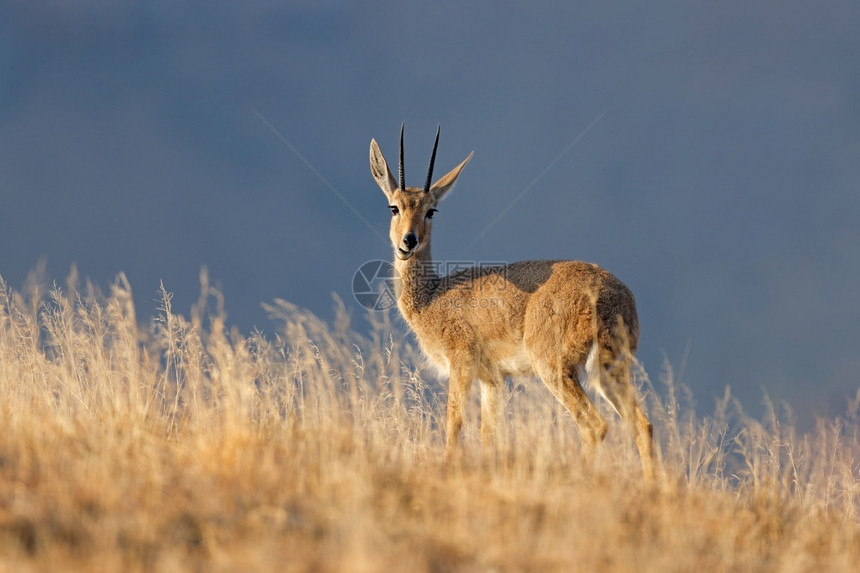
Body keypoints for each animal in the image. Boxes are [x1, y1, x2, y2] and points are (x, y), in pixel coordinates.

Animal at [370, 125, 660, 478]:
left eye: (431, 210)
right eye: (394, 207)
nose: (408, 242)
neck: (432, 297)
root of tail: (611, 294)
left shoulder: (461, 362)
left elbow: (454, 424)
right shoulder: (493, 379)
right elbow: (488, 434)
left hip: (556, 368)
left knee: (595, 426)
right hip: (609, 370)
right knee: (642, 426)